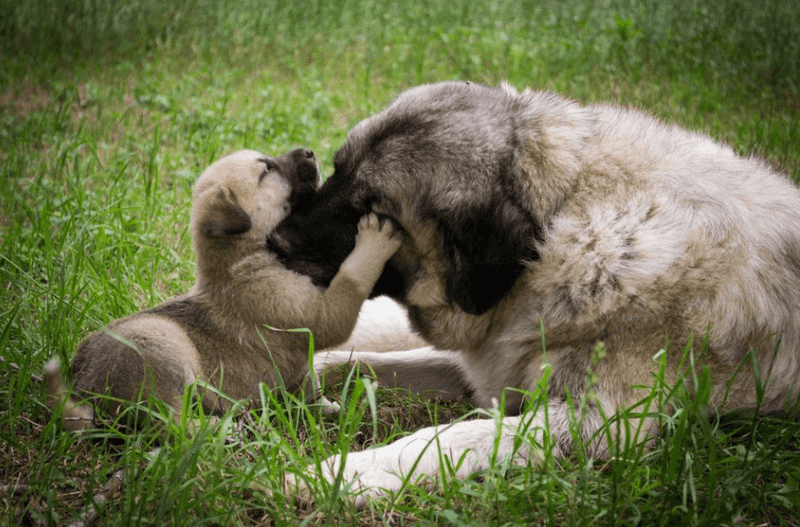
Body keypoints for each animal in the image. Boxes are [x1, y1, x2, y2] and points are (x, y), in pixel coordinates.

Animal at [46, 147, 404, 428]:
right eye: (267, 170)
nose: (310, 152)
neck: (241, 261)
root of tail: (85, 387)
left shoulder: (302, 360)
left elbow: (309, 386)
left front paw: (327, 408)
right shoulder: (317, 314)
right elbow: (351, 279)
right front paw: (374, 240)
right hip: (164, 348)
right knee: (169, 424)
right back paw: (219, 428)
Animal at [268, 81, 800, 504]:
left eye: (369, 208)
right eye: (337, 169)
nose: (275, 241)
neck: (559, 223)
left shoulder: (604, 423)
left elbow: (453, 437)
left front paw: (342, 474)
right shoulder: (492, 365)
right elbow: (363, 362)